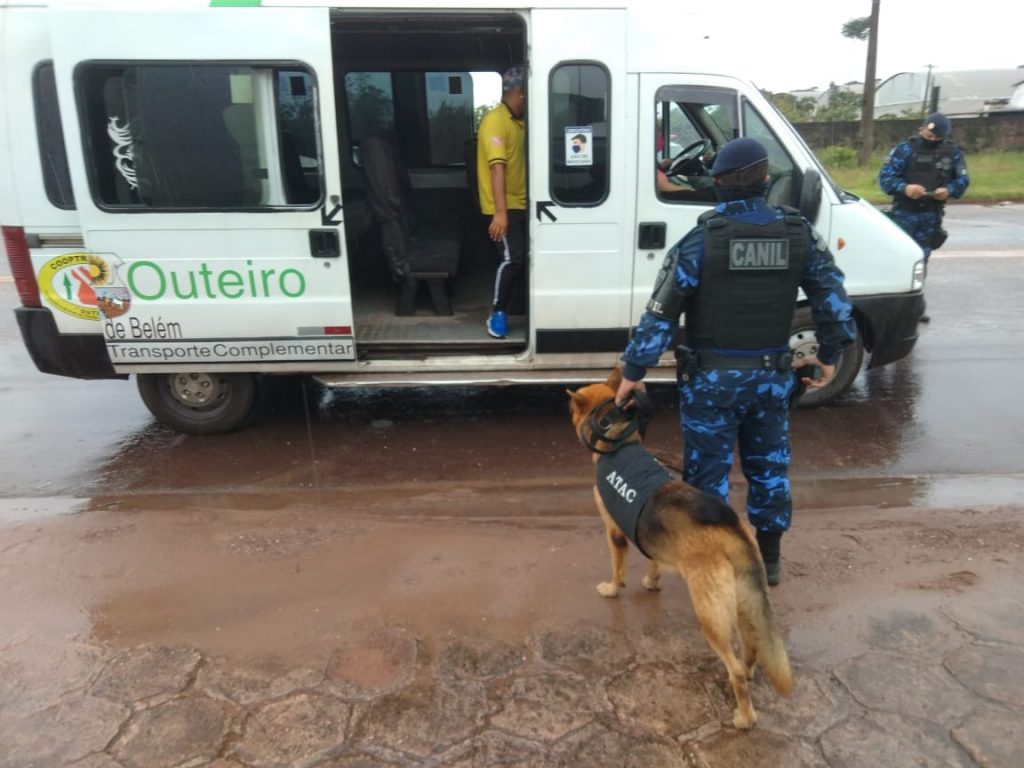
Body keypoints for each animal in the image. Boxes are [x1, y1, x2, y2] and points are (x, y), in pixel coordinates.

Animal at [569, 370, 790, 729]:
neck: (620, 443)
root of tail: (731, 530)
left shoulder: (614, 533)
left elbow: (617, 570)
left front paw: (613, 589)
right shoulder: (649, 541)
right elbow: (654, 562)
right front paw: (652, 582)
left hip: (710, 617)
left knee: (734, 669)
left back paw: (744, 717)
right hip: (745, 606)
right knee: (751, 650)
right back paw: (749, 671)